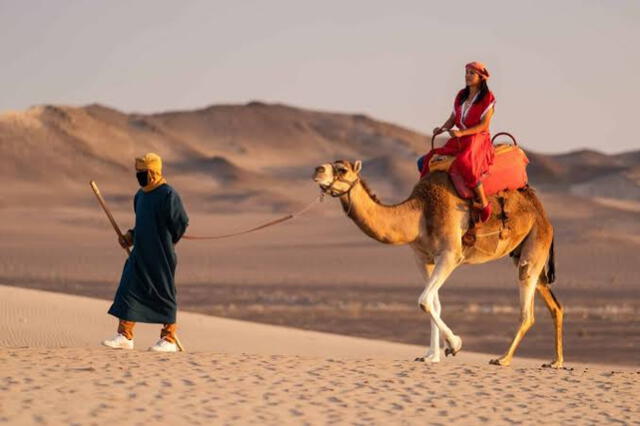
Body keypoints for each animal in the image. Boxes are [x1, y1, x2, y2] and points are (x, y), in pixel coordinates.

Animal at [312, 161, 564, 368]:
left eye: (342, 169)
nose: (317, 170)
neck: (419, 214)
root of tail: (543, 214)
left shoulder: (451, 255)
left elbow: (424, 301)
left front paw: (455, 345)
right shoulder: (423, 258)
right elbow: (434, 303)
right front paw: (431, 356)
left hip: (534, 245)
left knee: (527, 310)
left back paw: (503, 358)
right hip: (524, 252)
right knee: (554, 305)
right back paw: (556, 362)